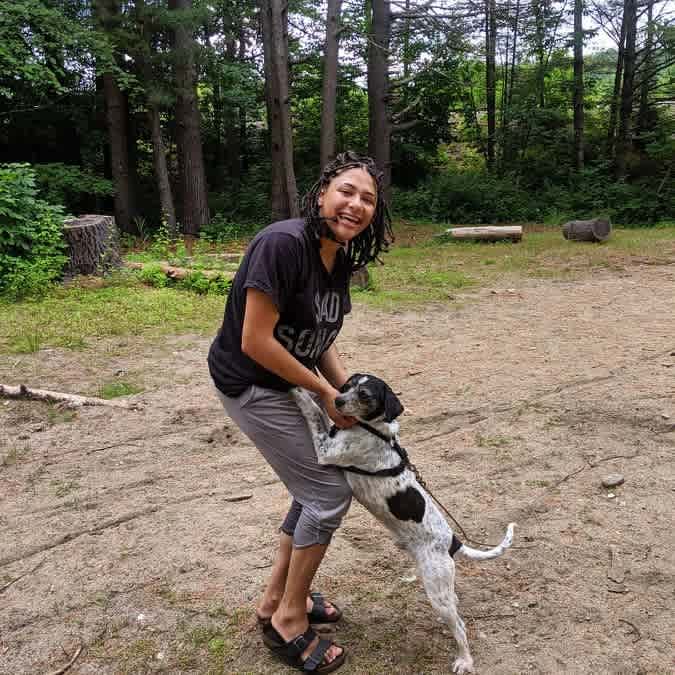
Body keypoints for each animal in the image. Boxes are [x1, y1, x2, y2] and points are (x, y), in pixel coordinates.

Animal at [292, 374, 516, 675]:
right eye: (347, 385)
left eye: (365, 394)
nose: (337, 400)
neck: (373, 430)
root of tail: (452, 540)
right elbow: (320, 414)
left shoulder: (325, 451)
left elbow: (314, 411)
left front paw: (299, 390)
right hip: (439, 586)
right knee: (456, 610)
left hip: (436, 588)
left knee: (460, 626)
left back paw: (465, 660)